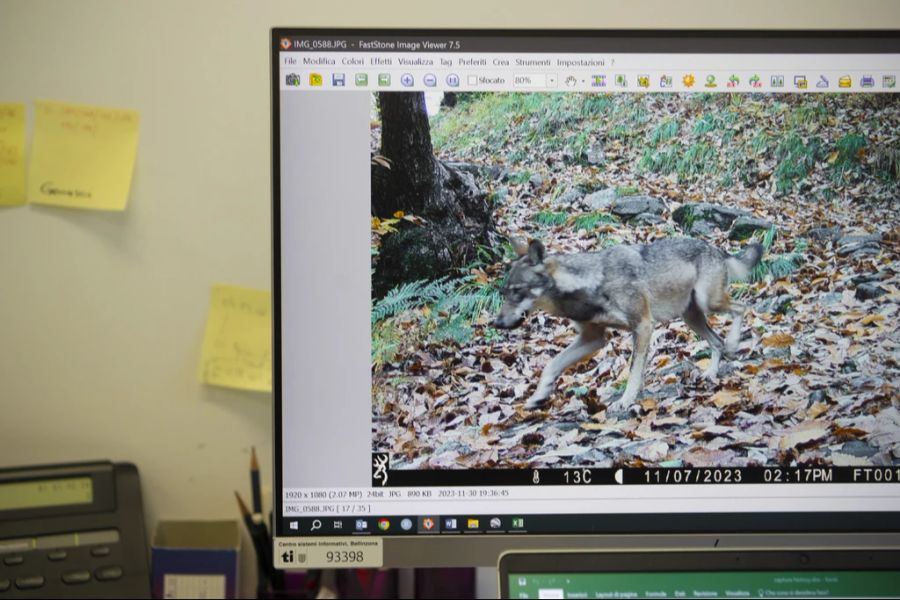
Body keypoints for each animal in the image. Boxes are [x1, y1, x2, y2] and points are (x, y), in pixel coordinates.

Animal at [496, 237, 764, 414]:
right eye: (504, 292)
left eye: (517, 291)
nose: (496, 323)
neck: (589, 284)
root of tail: (717, 248)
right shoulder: (593, 339)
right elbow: (551, 365)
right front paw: (538, 396)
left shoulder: (643, 326)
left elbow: (634, 370)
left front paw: (626, 401)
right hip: (692, 317)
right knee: (716, 340)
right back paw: (711, 373)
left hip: (709, 303)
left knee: (741, 308)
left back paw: (733, 344)